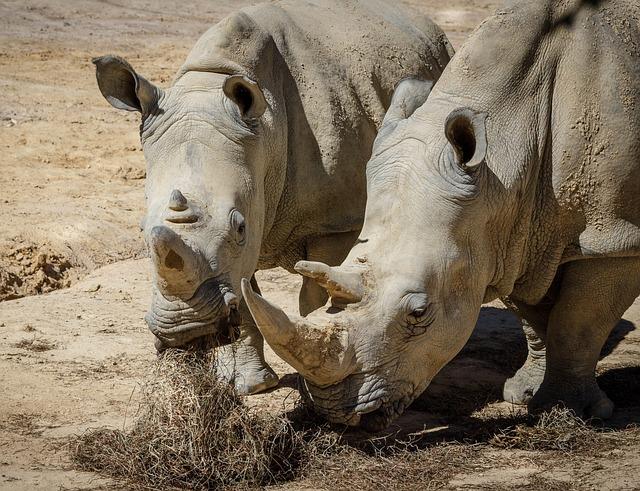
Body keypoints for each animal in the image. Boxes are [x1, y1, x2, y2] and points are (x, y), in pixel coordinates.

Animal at [92, 0, 453, 394]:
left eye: (238, 227)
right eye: (141, 229)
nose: (186, 332)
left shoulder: (334, 221)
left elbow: (321, 292)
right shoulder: (248, 215)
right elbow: (245, 294)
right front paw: (250, 386)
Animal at [243, 0, 640, 429]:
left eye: (419, 312)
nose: (336, 411)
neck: (506, 159)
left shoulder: (612, 237)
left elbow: (577, 322)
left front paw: (566, 412)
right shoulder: (511, 234)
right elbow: (533, 317)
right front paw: (524, 395)